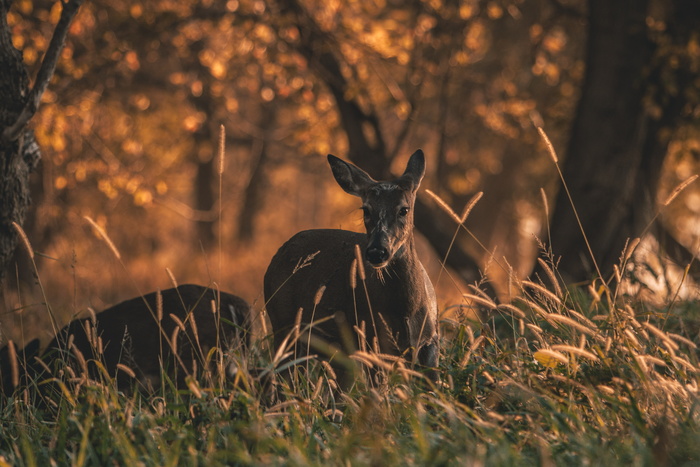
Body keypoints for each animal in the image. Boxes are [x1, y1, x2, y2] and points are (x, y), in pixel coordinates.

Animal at [262, 151, 438, 388]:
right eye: (366, 209)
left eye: (403, 209)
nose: (377, 252)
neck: (407, 310)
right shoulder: (374, 341)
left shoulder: (430, 343)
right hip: (284, 326)